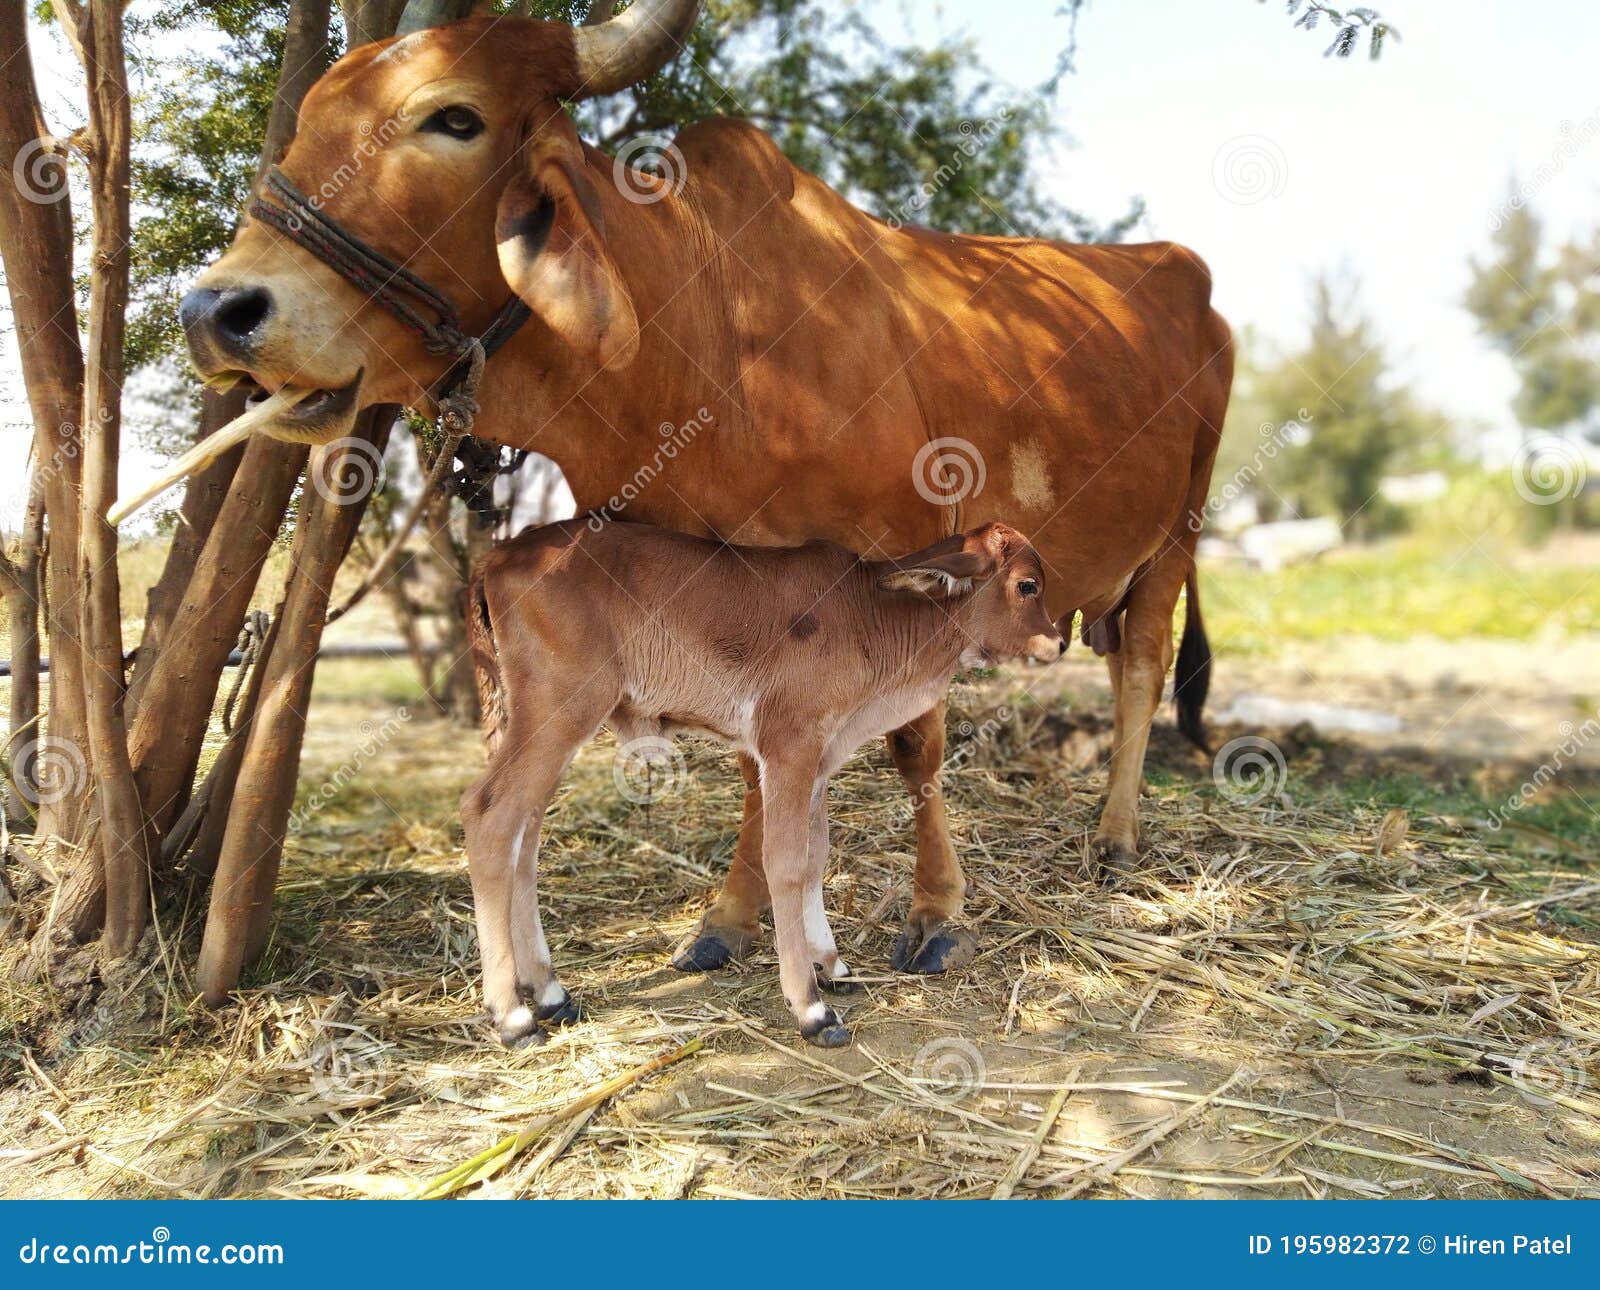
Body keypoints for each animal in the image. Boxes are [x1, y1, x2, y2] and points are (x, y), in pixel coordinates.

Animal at [178, 0, 1233, 981]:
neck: (712, 334)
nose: (215, 311)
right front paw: (732, 918)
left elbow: (915, 749)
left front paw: (937, 915)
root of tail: (1184, 273)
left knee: (1142, 666)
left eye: (455, 118)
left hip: (1179, 532)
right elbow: (754, 765)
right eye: (301, 122)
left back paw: (1117, 834)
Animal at [463, 518, 1065, 1047]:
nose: (1059, 643)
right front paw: (811, 1007)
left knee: (524, 838)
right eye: (1027, 584)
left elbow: (817, 855)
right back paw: (514, 1016)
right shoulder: (788, 746)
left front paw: (829, 964)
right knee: (490, 814)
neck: (870, 616)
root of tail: (499, 555)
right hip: (561, 710)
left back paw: (550, 993)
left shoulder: (819, 760)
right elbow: (787, 863)